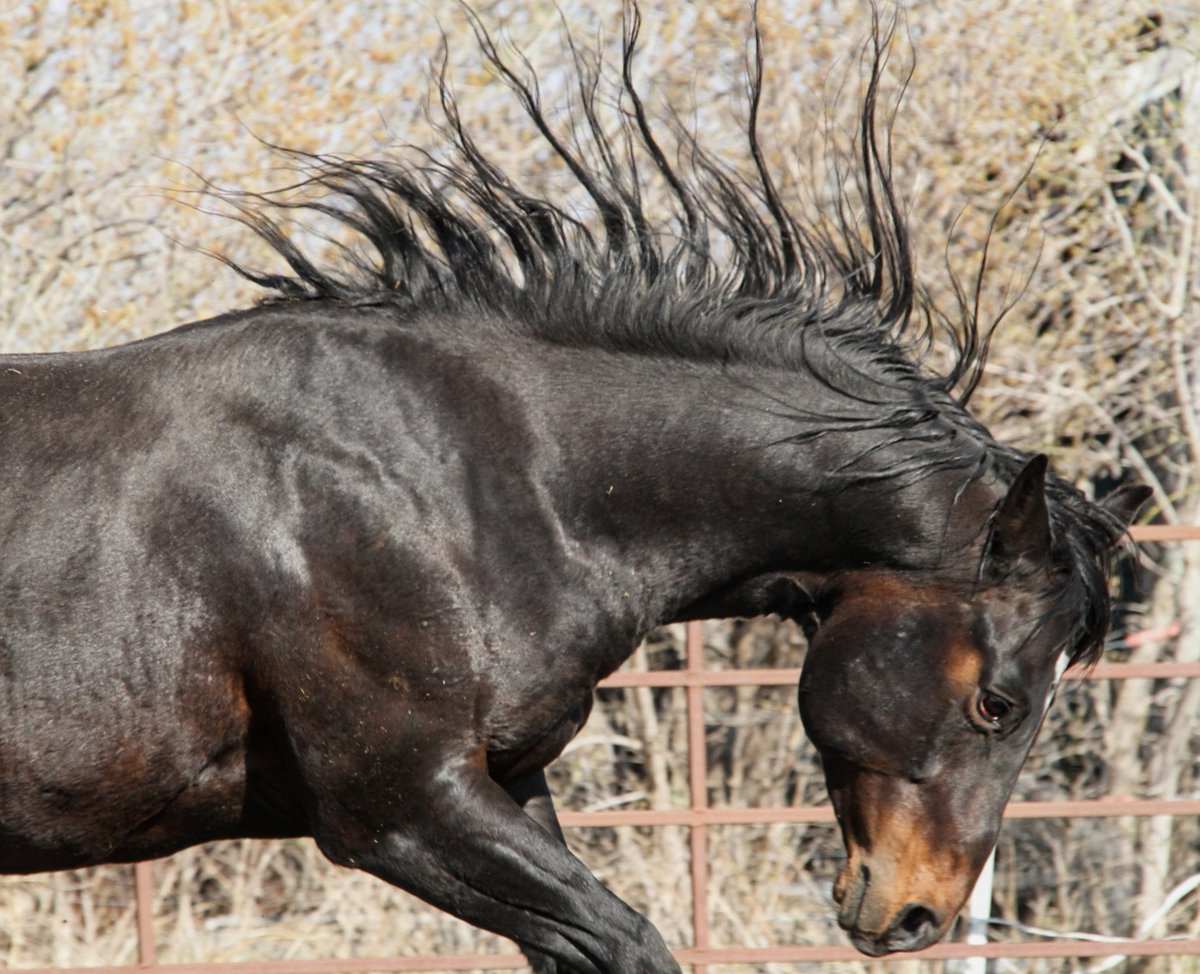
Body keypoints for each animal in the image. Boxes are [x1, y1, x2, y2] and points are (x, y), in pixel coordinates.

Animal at [0, 7, 1147, 974]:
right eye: (998, 702)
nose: (914, 914)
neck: (466, 474)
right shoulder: (401, 804)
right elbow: (634, 943)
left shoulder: (509, 784)